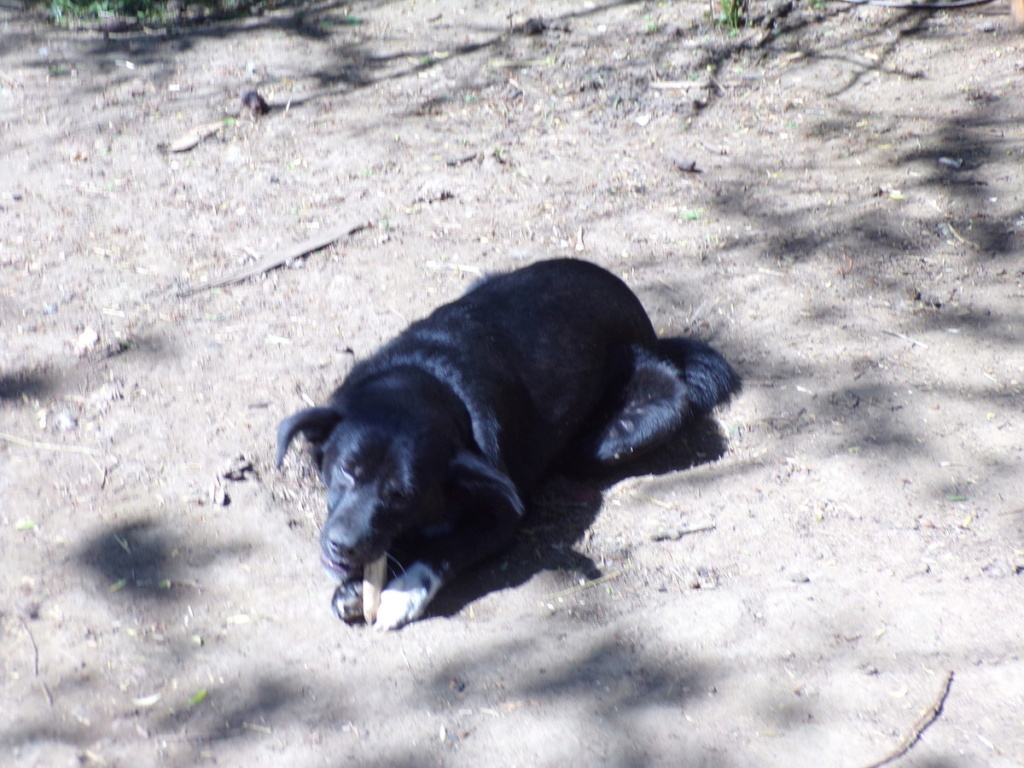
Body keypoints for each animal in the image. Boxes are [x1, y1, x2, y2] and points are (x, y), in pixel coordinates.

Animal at [274, 260, 737, 630]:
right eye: (345, 470)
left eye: (402, 495)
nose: (342, 546)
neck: (426, 375)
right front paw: (358, 583)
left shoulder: (502, 516)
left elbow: (444, 549)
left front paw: (401, 592)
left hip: (635, 423)